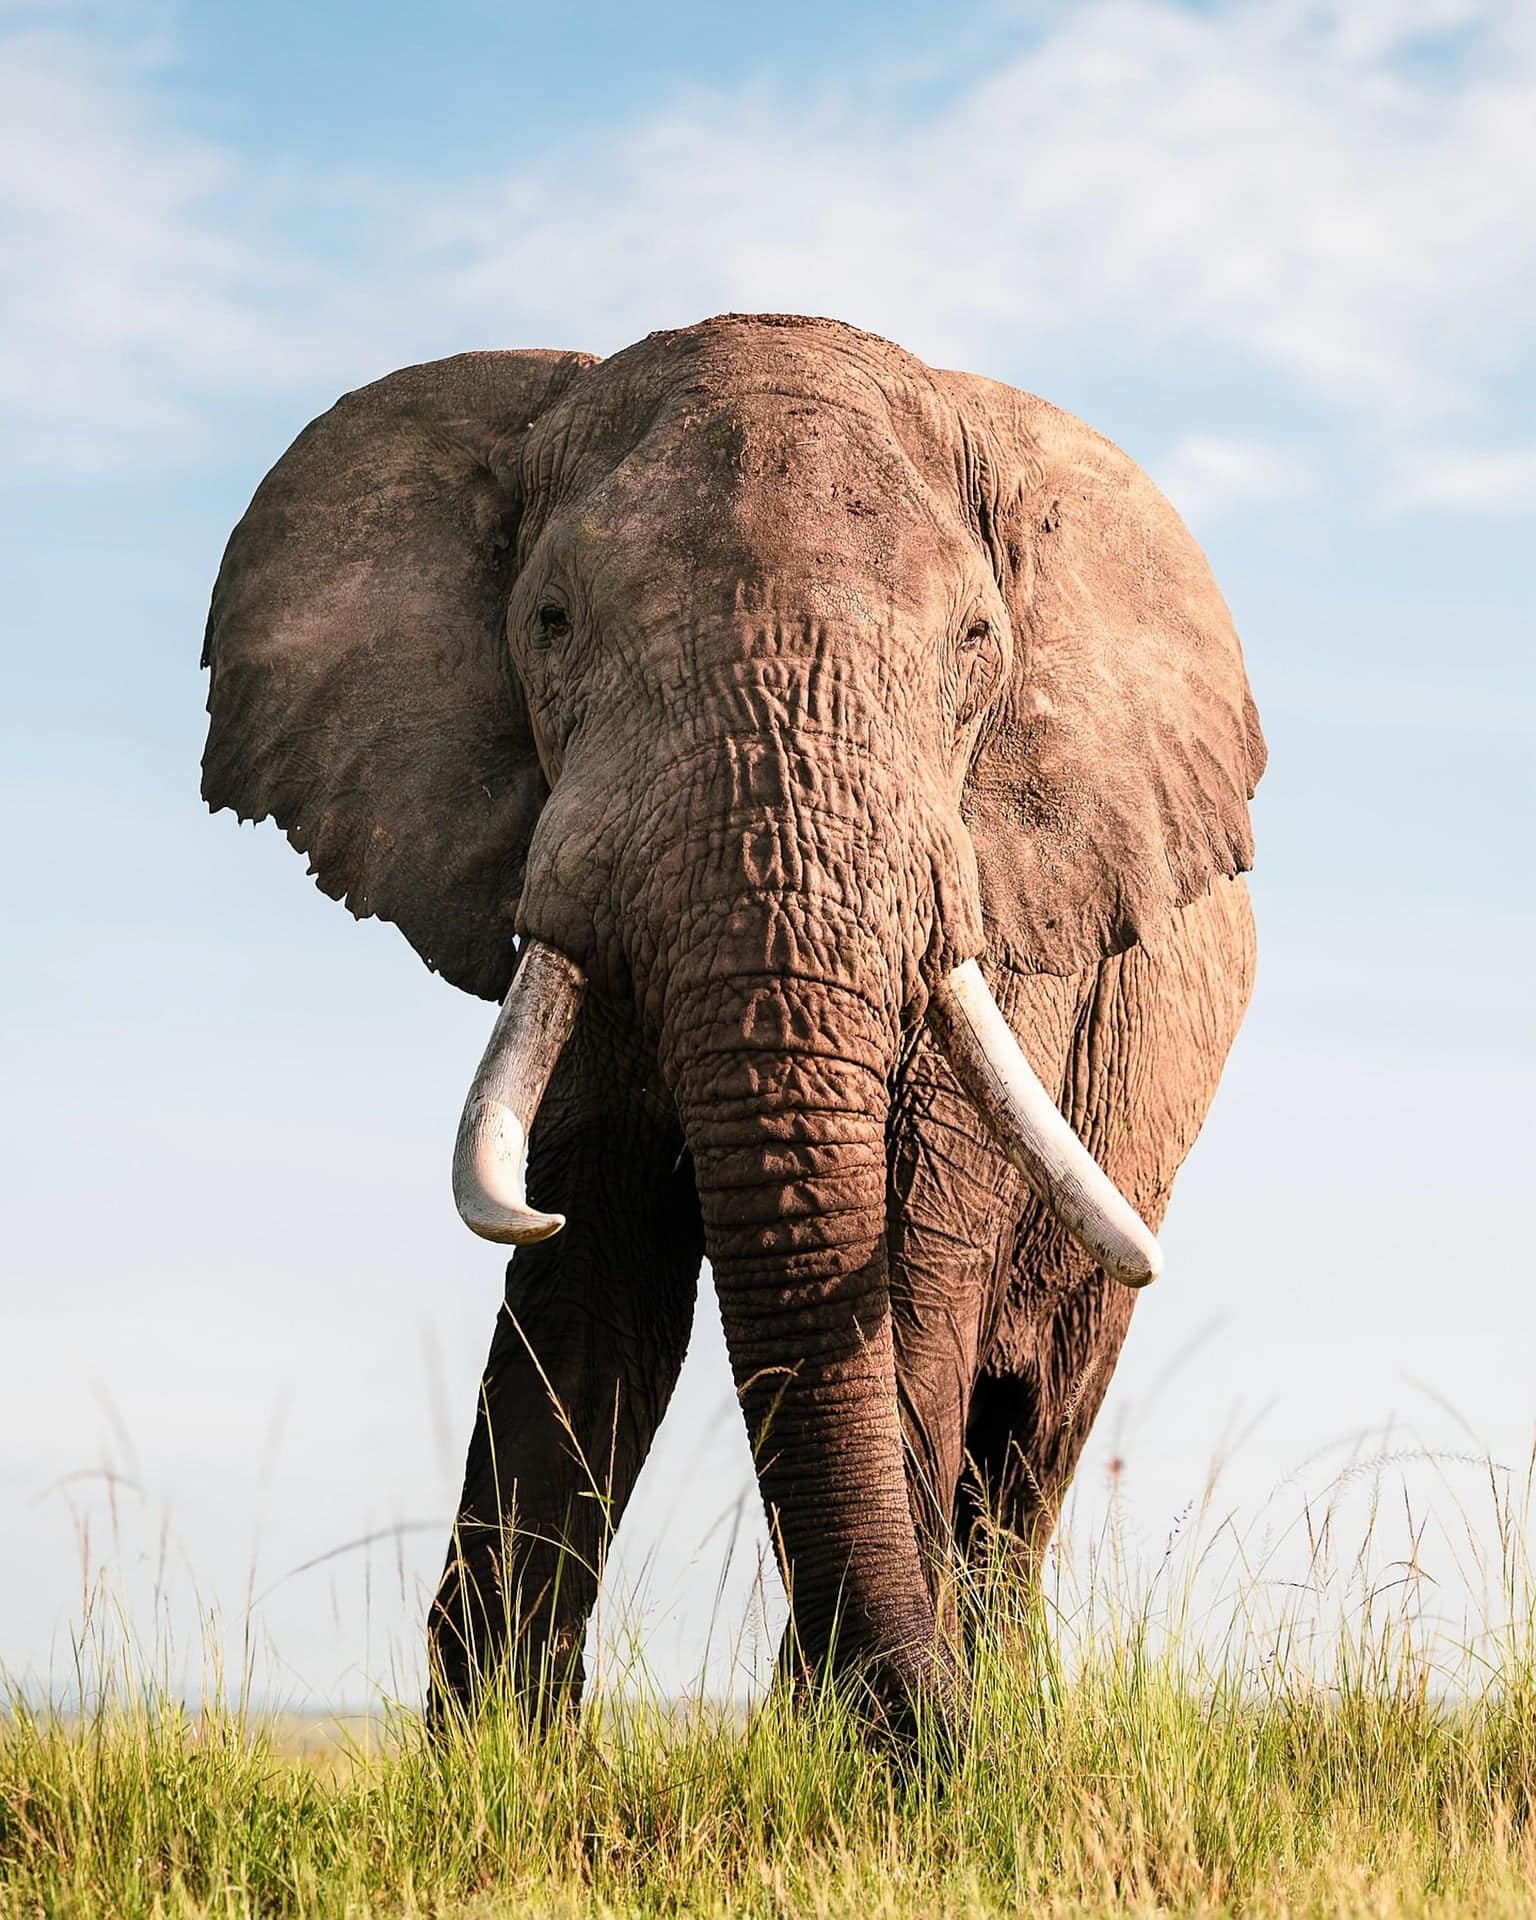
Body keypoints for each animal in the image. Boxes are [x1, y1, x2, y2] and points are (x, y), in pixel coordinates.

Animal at [201, 312, 1264, 1738]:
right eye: (551, 622)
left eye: (975, 643)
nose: (916, 1728)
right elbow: (596, 1262)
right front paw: (500, 1753)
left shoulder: (1020, 902)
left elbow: (903, 1255)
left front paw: (860, 1742)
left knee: (1036, 1423)